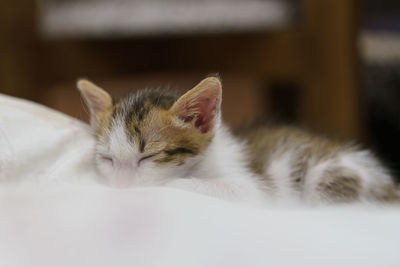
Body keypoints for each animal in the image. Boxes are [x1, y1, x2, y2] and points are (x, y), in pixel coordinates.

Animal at [76, 76, 398, 204]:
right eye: (106, 158)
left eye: (148, 157)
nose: (121, 188)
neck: (202, 163)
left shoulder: (256, 188)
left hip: (329, 175)